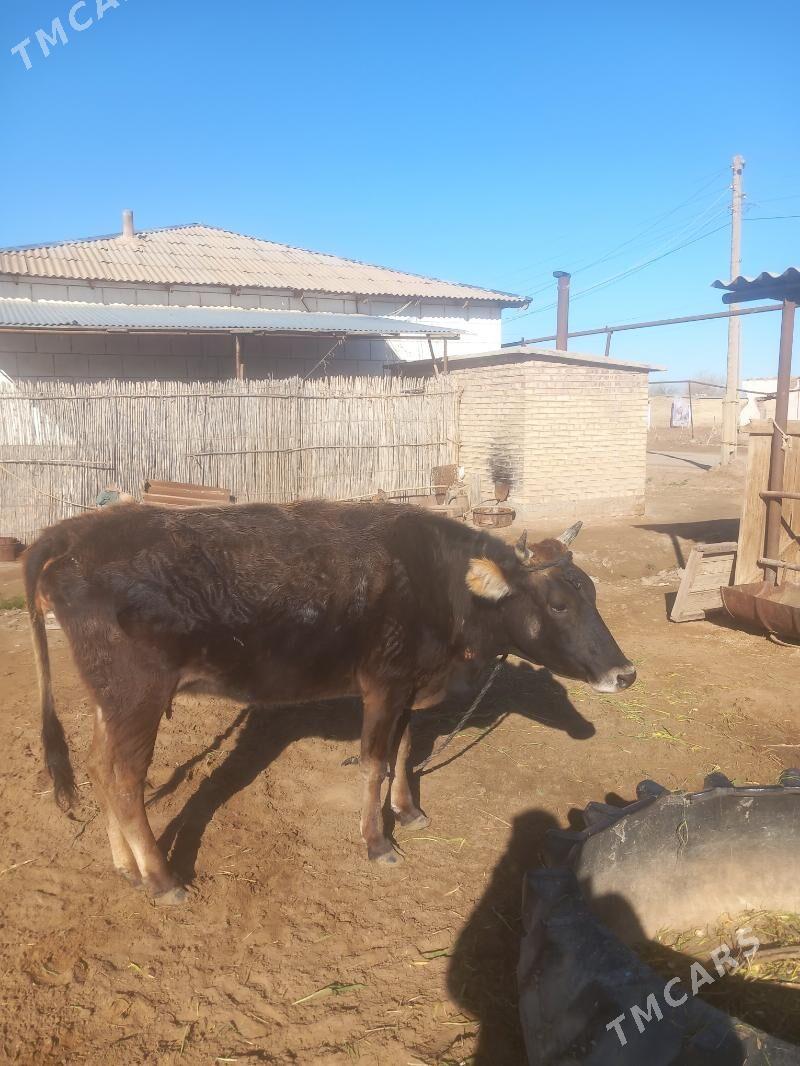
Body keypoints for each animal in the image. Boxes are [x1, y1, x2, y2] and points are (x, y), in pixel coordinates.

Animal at [24, 500, 635, 903]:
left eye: (592, 592)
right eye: (557, 603)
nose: (625, 673)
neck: (440, 584)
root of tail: (75, 531)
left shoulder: (409, 685)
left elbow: (405, 750)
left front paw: (407, 811)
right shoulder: (384, 683)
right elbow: (373, 762)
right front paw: (376, 842)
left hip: (109, 699)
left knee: (100, 770)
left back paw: (125, 867)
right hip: (138, 697)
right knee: (126, 782)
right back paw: (160, 879)